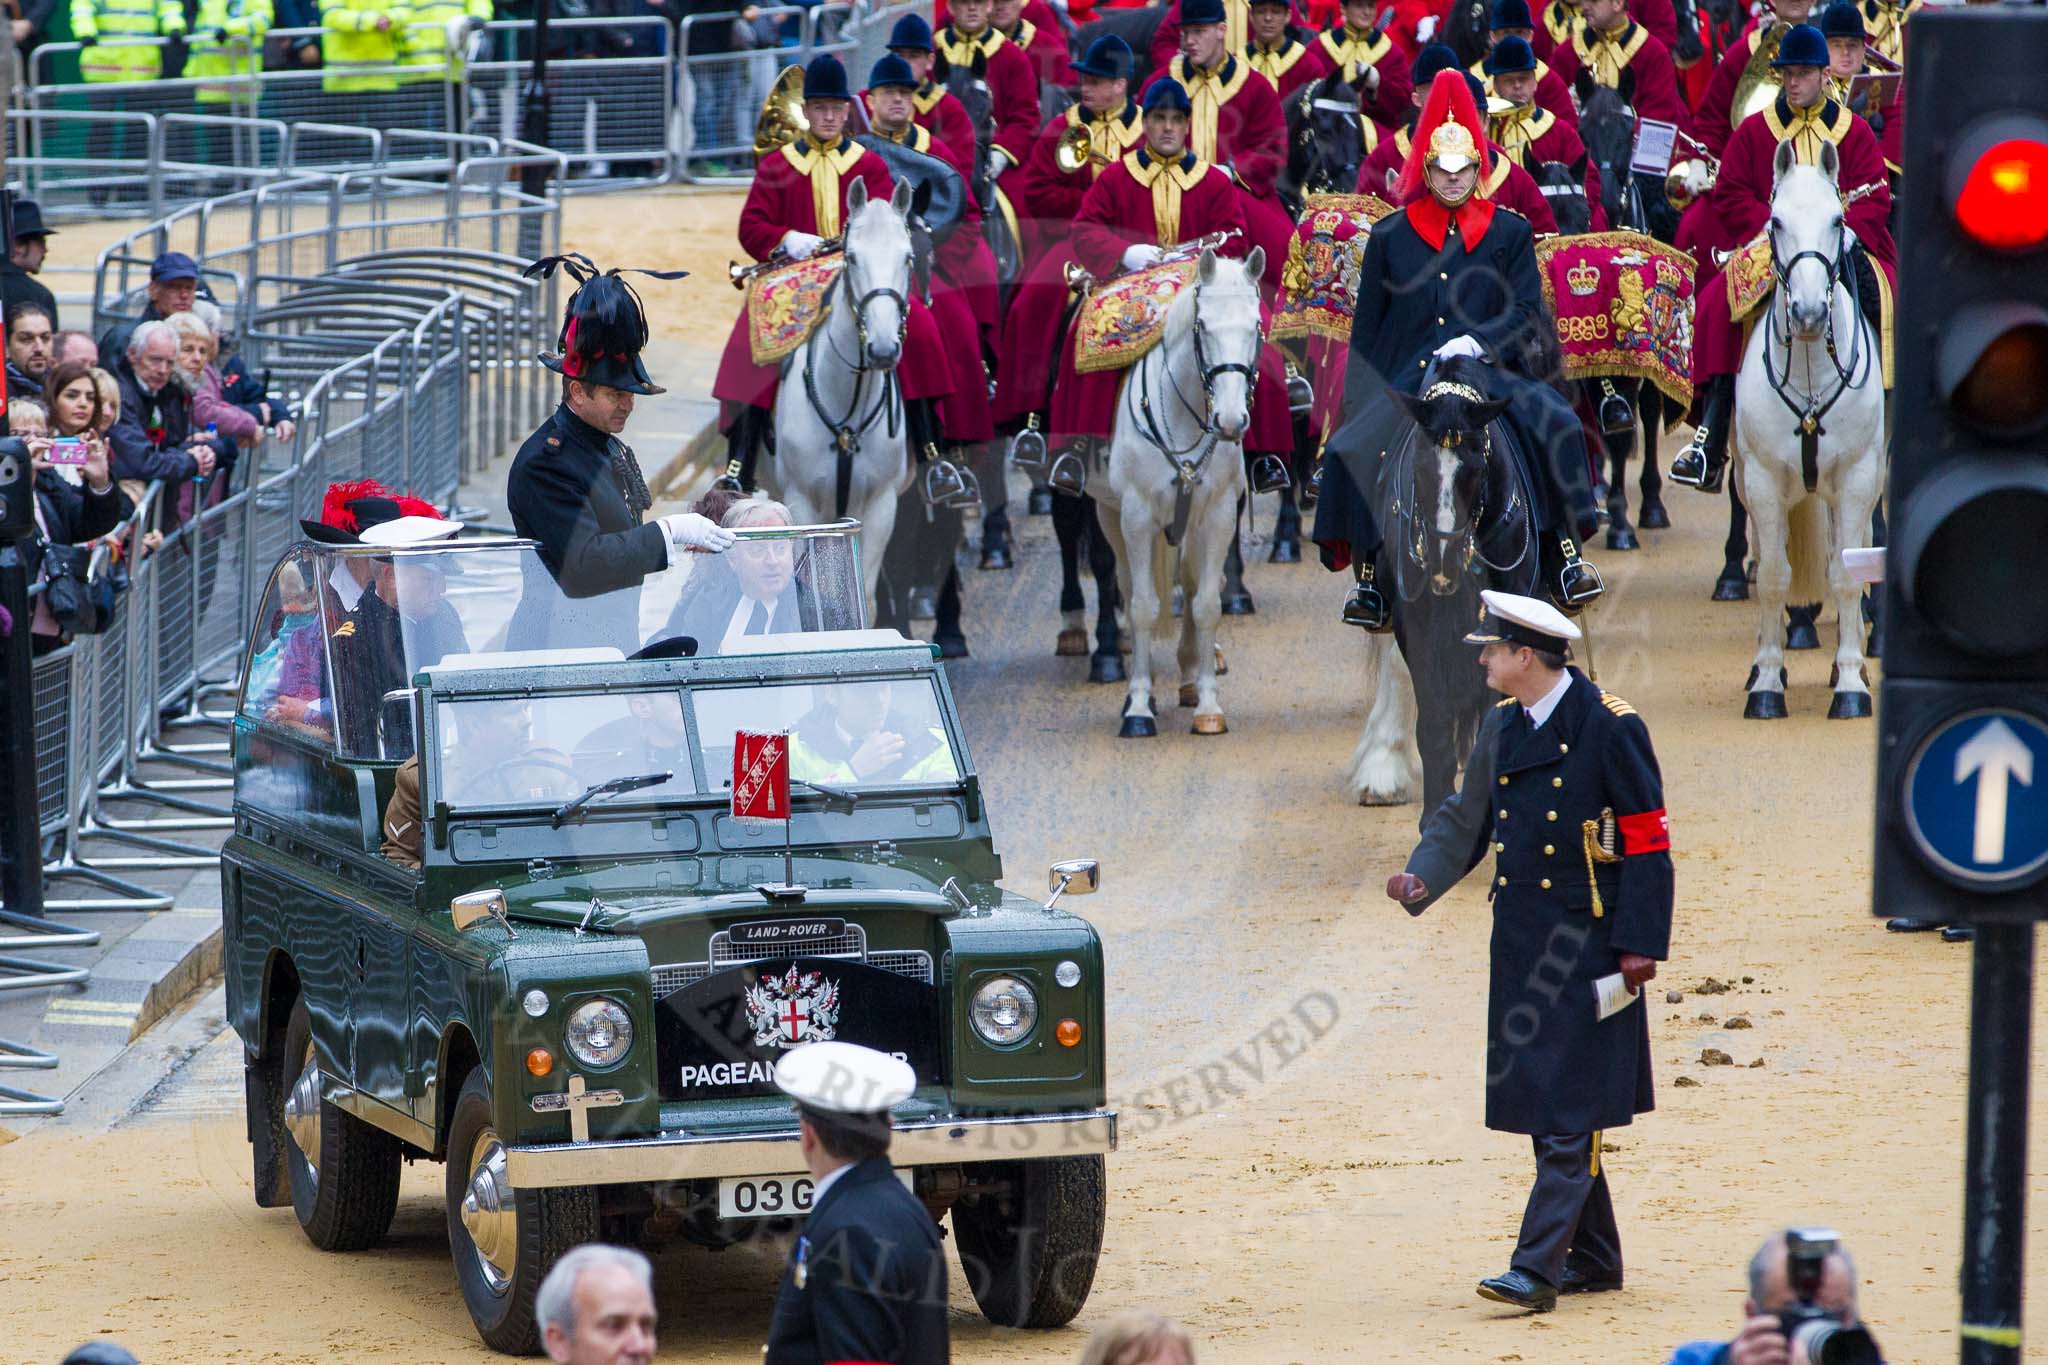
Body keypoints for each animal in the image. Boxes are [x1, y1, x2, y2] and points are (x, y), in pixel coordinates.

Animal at [770, 175, 921, 613]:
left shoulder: (881, 505)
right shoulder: (800, 502)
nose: (883, 349)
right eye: (851, 257)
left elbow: (864, 594)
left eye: (908, 258)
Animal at [1089, 245, 1261, 736]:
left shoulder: (1219, 513)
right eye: (1204, 327)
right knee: (1129, 587)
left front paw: (1208, 706)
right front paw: (1138, 707)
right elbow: (1144, 606)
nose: (1230, 421)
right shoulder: (1136, 515)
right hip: (1109, 514)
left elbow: (1206, 604)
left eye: (1255, 326)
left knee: (1189, 579)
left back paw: (1187, 676)